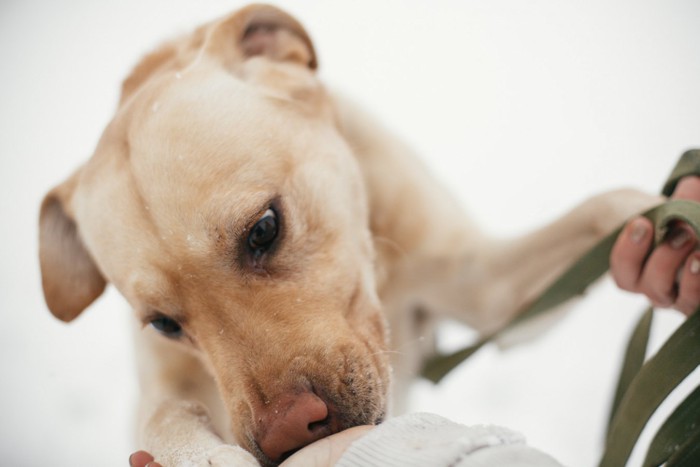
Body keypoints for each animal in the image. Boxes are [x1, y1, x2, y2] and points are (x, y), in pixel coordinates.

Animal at [39, 4, 660, 467]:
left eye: (264, 229)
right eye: (164, 324)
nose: (288, 435)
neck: (381, 270)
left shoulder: (488, 292)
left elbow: (611, 207)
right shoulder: (160, 387)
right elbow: (163, 416)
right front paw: (200, 455)